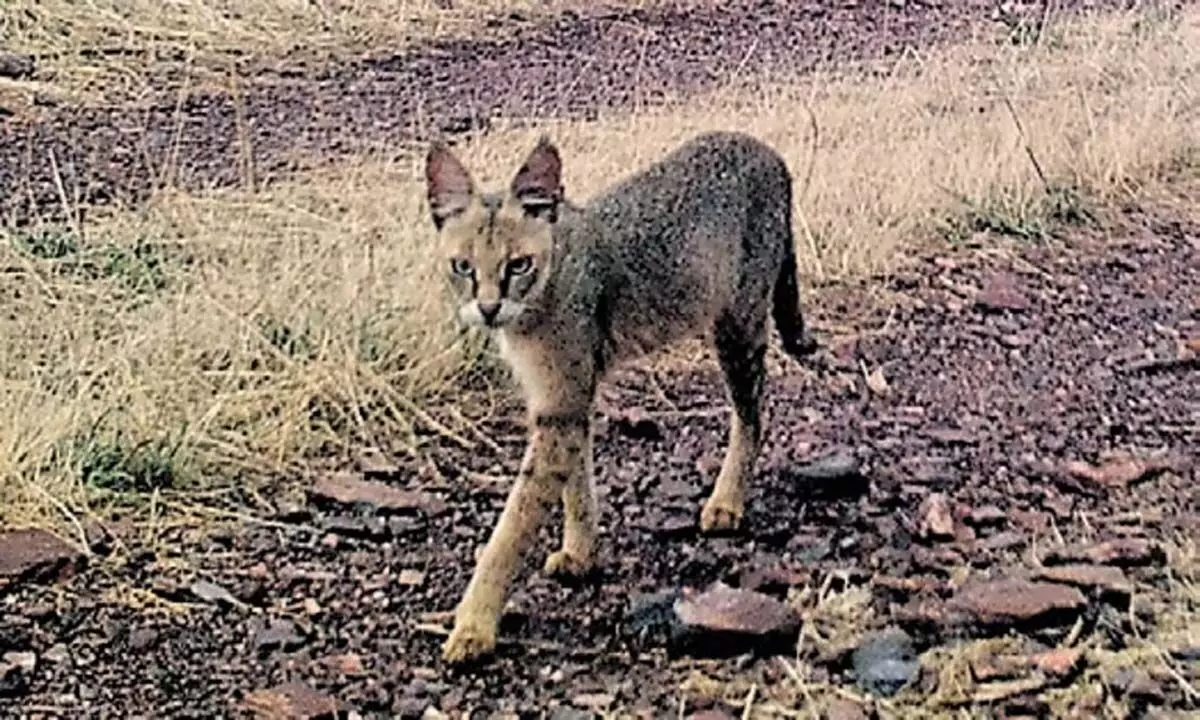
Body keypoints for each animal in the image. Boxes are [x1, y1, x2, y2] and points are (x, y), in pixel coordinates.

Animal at [422, 130, 816, 662]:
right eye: (462, 267)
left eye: (518, 266)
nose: (487, 308)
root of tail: (763, 147)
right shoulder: (565, 403)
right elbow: (577, 484)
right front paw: (580, 553)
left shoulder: (561, 404)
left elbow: (513, 526)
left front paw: (474, 624)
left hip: (736, 328)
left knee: (752, 416)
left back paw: (727, 501)